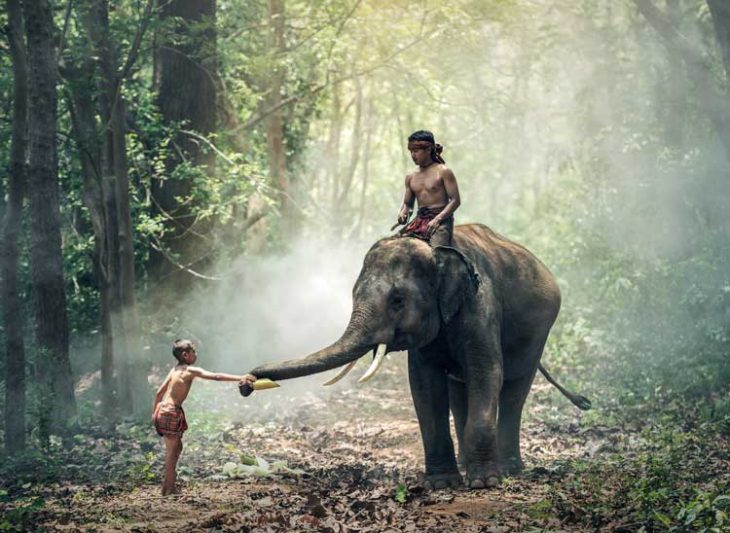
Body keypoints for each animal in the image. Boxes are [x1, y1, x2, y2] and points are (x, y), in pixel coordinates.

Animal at [242, 222, 588, 488]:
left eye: (397, 300)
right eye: (353, 295)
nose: (247, 383)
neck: (437, 251)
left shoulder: (481, 307)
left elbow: (487, 373)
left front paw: (484, 483)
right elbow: (425, 385)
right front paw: (443, 484)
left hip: (540, 331)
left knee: (515, 389)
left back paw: (511, 469)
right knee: (460, 391)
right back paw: (468, 464)